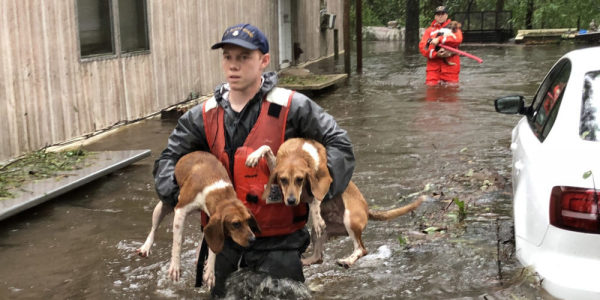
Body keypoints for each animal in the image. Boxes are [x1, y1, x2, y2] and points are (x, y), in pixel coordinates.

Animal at [136, 151, 258, 284]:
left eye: (248, 220)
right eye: (235, 224)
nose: (253, 240)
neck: (218, 191)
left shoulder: (211, 221)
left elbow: (213, 247)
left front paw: (210, 271)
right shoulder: (180, 211)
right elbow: (177, 243)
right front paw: (175, 266)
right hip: (162, 207)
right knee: (154, 229)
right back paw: (146, 246)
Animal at [246, 138, 424, 268]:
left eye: (300, 179)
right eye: (283, 180)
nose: (291, 201)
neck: (298, 153)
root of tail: (367, 210)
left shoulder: (325, 183)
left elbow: (316, 200)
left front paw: (316, 215)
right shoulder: (276, 167)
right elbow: (267, 147)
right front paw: (253, 156)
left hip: (350, 220)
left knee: (361, 249)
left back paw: (347, 260)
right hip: (319, 234)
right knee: (318, 257)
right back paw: (305, 260)